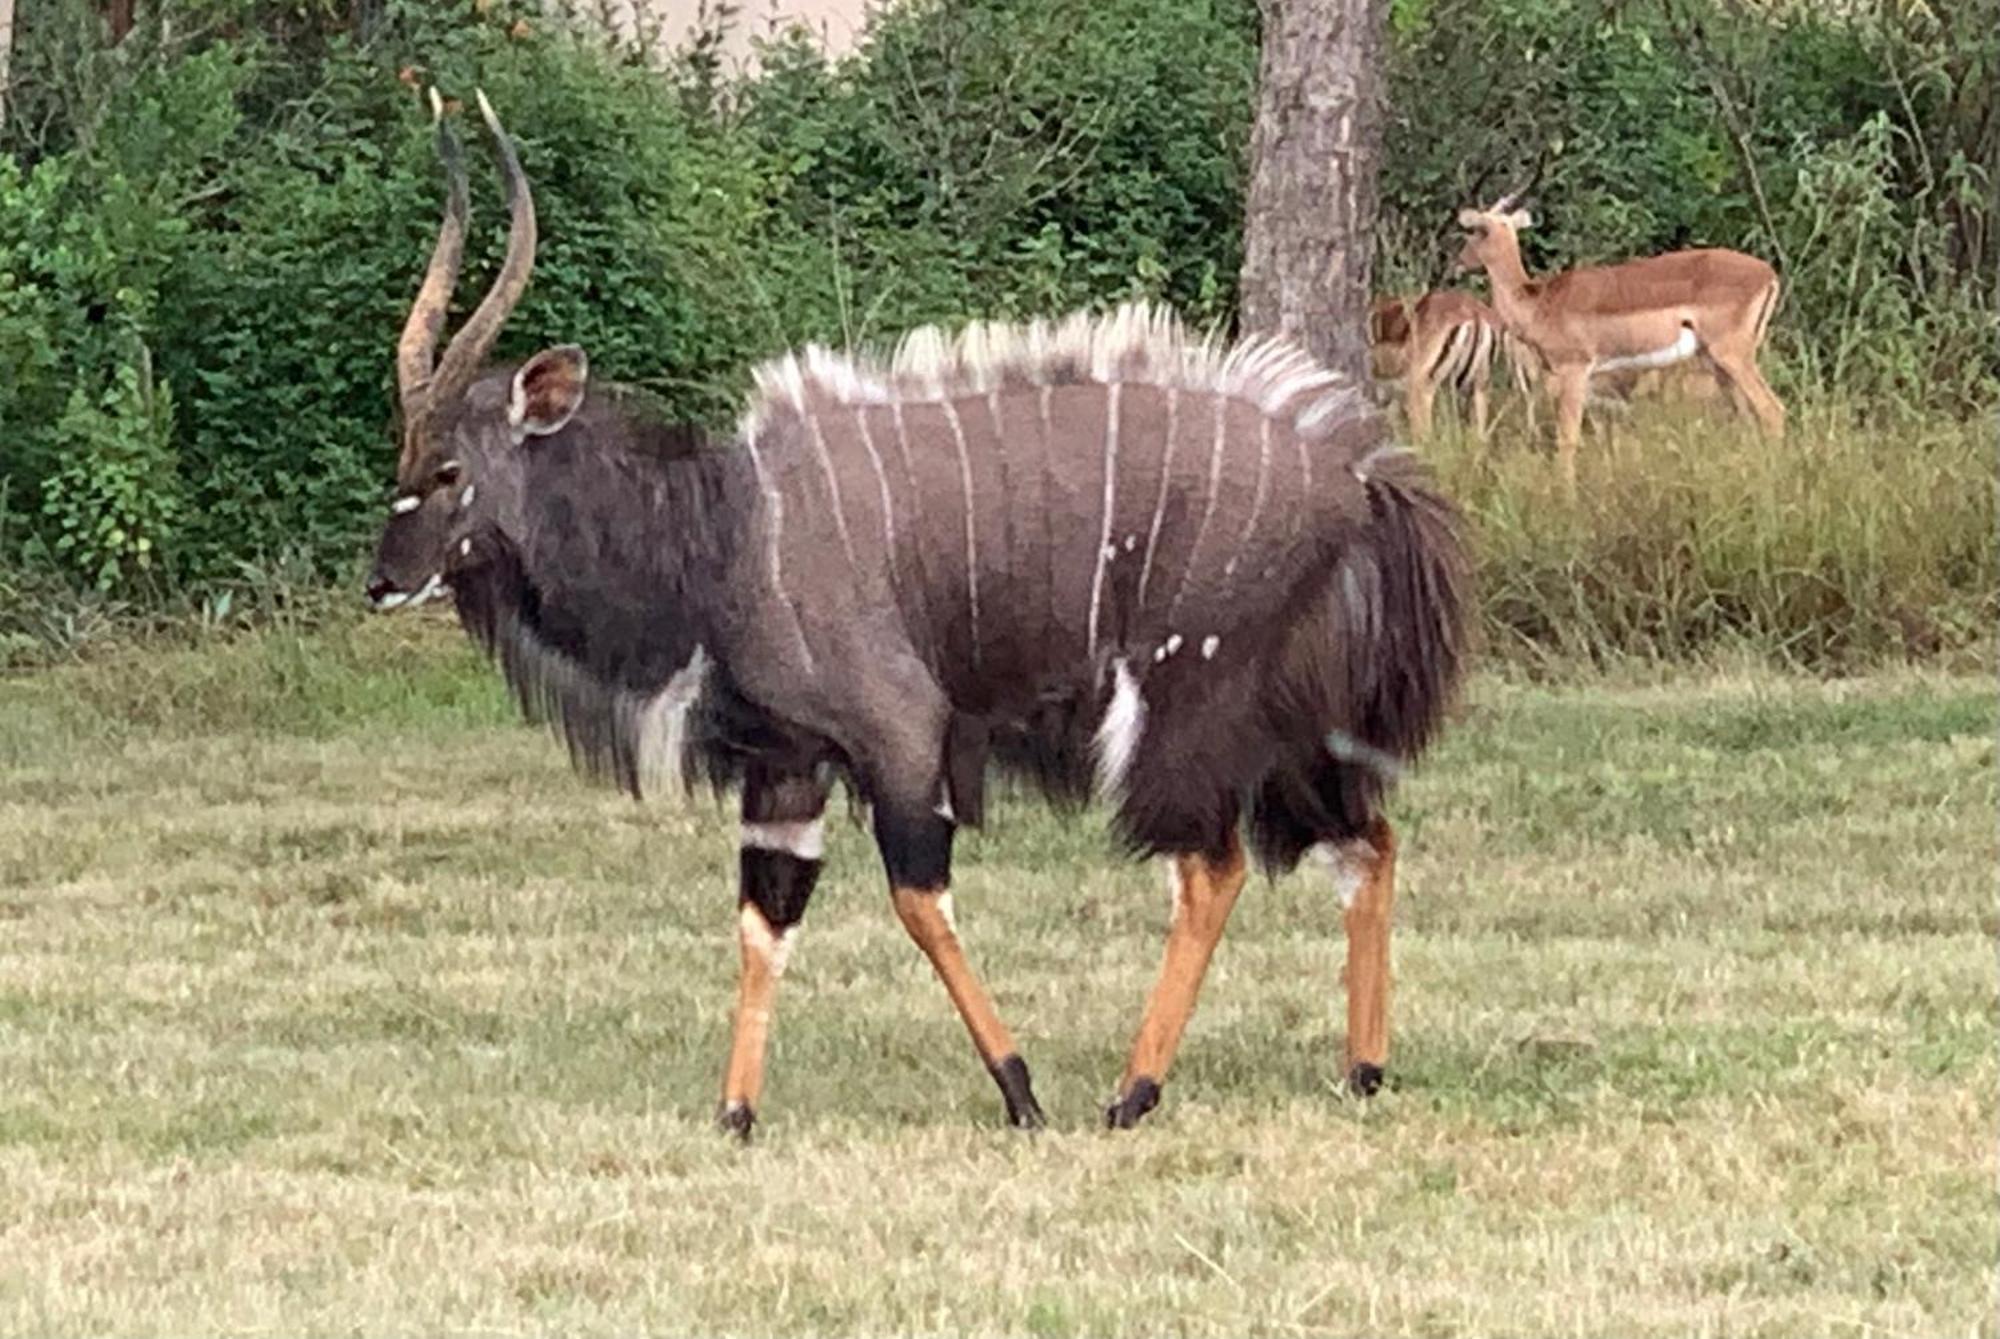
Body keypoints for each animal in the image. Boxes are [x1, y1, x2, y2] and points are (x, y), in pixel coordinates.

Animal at [372, 96, 1472, 1143]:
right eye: (403, 454)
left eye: (450, 469)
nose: (383, 582)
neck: (722, 531)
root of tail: (1359, 483)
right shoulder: (787, 766)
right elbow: (764, 920)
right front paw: (735, 1112)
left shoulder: (899, 738)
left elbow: (918, 900)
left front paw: (1021, 1093)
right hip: (1296, 734)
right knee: (1367, 842)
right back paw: (1360, 1070)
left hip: (1186, 710)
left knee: (1214, 865)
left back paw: (1132, 1090)